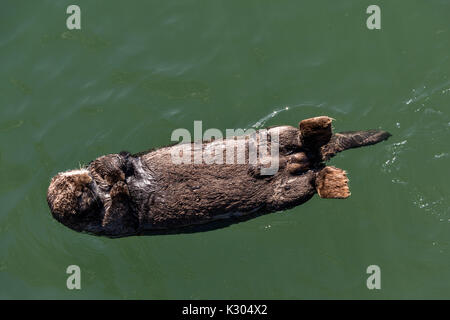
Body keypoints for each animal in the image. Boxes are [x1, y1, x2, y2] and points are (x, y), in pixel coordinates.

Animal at [46, 116, 390, 236]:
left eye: (82, 184)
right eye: (79, 194)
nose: (84, 181)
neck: (102, 196)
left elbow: (116, 161)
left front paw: (112, 172)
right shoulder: (110, 225)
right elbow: (119, 213)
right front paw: (119, 187)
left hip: (273, 136)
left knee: (297, 138)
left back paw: (316, 128)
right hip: (286, 193)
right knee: (309, 180)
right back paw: (333, 180)